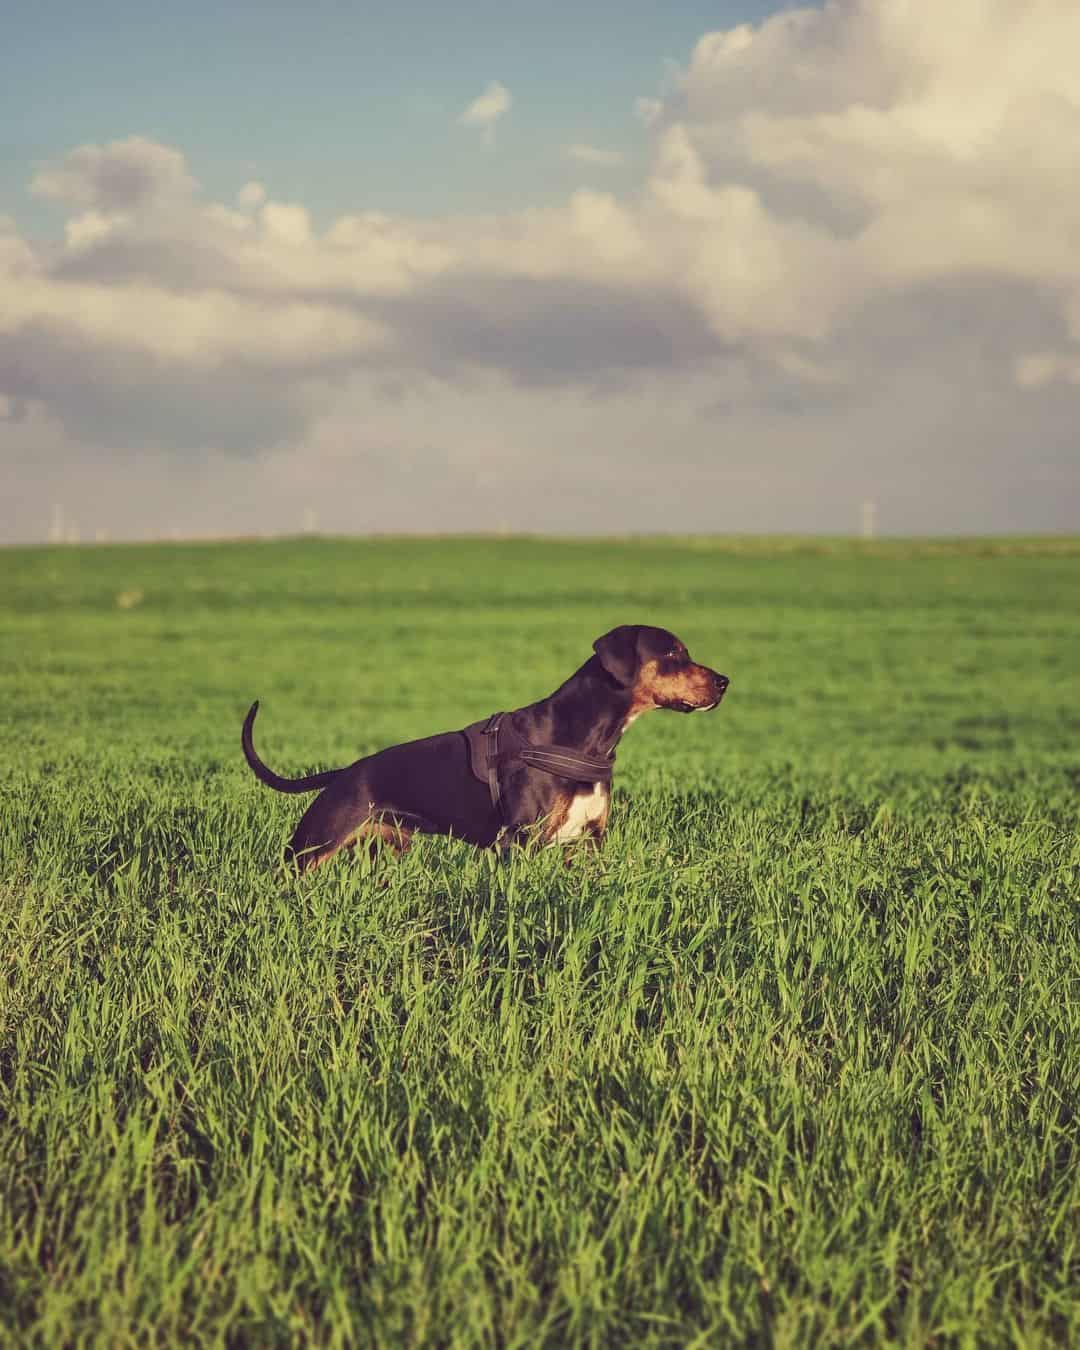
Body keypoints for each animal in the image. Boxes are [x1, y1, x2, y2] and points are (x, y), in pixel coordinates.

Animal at [241, 623, 729, 869]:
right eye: (672, 654)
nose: (724, 682)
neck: (584, 737)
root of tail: (342, 775)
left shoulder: (588, 842)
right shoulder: (521, 842)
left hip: (387, 850)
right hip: (309, 850)